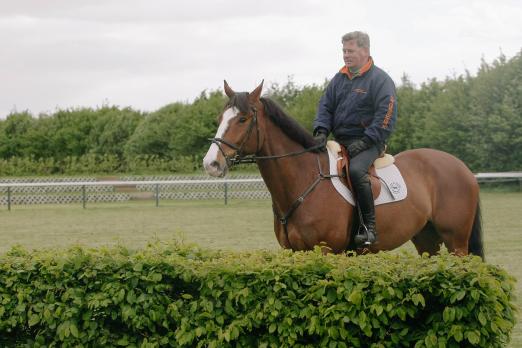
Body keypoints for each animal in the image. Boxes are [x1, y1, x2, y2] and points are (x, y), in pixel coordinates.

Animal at [201, 81, 482, 258]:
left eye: (243, 119)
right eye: (220, 119)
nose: (211, 163)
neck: (304, 180)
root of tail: (461, 167)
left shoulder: (326, 252)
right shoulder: (294, 253)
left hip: (456, 242)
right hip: (427, 239)